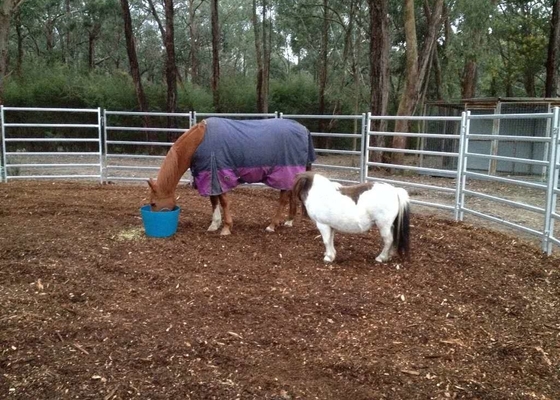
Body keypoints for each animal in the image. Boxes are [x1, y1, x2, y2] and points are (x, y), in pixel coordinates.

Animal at [148, 117, 316, 234]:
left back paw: (272, 225)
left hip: (284, 173)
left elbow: (223, 201)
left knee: (283, 200)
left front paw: (226, 227)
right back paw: (289, 221)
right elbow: (214, 200)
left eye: (153, 203)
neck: (198, 142)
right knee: (292, 196)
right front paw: (214, 224)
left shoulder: (219, 175)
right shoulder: (211, 177)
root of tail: (303, 129)